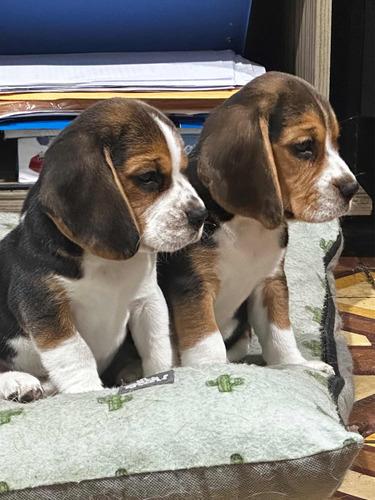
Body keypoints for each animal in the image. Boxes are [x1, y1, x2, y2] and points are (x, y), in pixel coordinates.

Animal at [0, 97, 209, 402]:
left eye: (183, 170)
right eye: (148, 177)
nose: (201, 216)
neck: (107, 262)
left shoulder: (148, 300)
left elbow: (157, 344)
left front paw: (160, 374)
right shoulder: (45, 306)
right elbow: (77, 354)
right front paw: (87, 392)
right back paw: (19, 383)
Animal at [159, 72, 358, 374]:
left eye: (335, 143)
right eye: (304, 147)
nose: (352, 188)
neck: (246, 225)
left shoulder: (270, 282)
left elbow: (280, 332)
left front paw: (297, 366)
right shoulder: (193, 285)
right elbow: (207, 341)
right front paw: (210, 372)